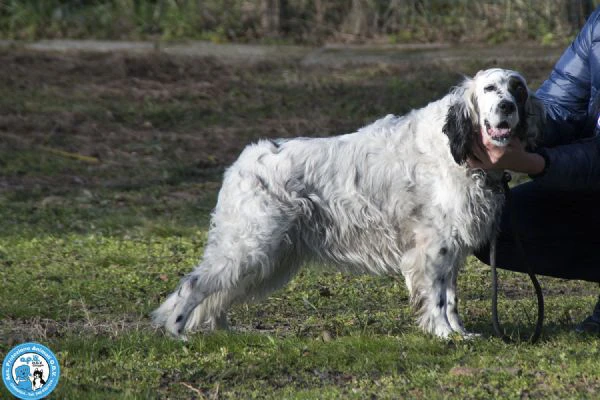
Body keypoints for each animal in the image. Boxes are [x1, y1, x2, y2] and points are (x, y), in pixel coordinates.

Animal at [154, 68, 544, 338]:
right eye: (490, 89)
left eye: (518, 88)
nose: (507, 107)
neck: (457, 150)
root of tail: (244, 161)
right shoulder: (434, 247)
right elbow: (436, 297)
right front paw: (443, 334)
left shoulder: (451, 248)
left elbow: (450, 299)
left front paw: (460, 333)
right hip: (251, 245)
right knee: (194, 286)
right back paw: (177, 334)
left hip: (267, 255)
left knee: (219, 295)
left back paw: (225, 333)